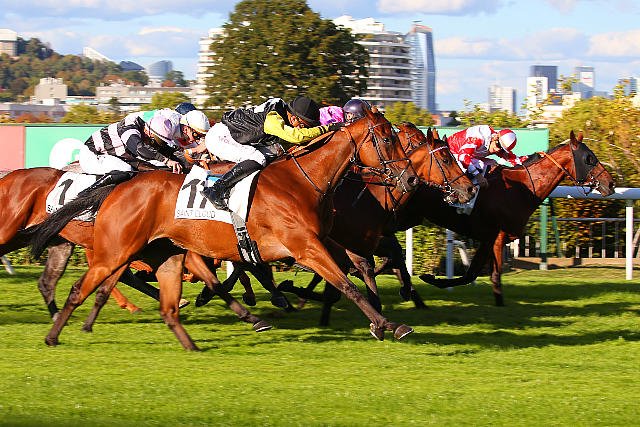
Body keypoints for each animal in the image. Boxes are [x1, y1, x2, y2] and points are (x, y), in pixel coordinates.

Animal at [29, 108, 419, 350]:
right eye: (387, 139)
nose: (411, 179)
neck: (303, 181)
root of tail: (122, 181)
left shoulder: (322, 242)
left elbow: (351, 275)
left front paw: (385, 320)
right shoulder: (305, 246)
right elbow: (345, 283)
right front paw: (386, 324)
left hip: (164, 251)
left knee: (155, 295)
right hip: (116, 249)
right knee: (83, 286)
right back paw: (56, 333)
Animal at [409, 130, 615, 304]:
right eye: (589, 158)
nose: (611, 184)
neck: (522, 189)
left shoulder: (489, 239)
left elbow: (472, 274)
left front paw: (432, 279)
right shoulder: (498, 238)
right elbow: (494, 276)